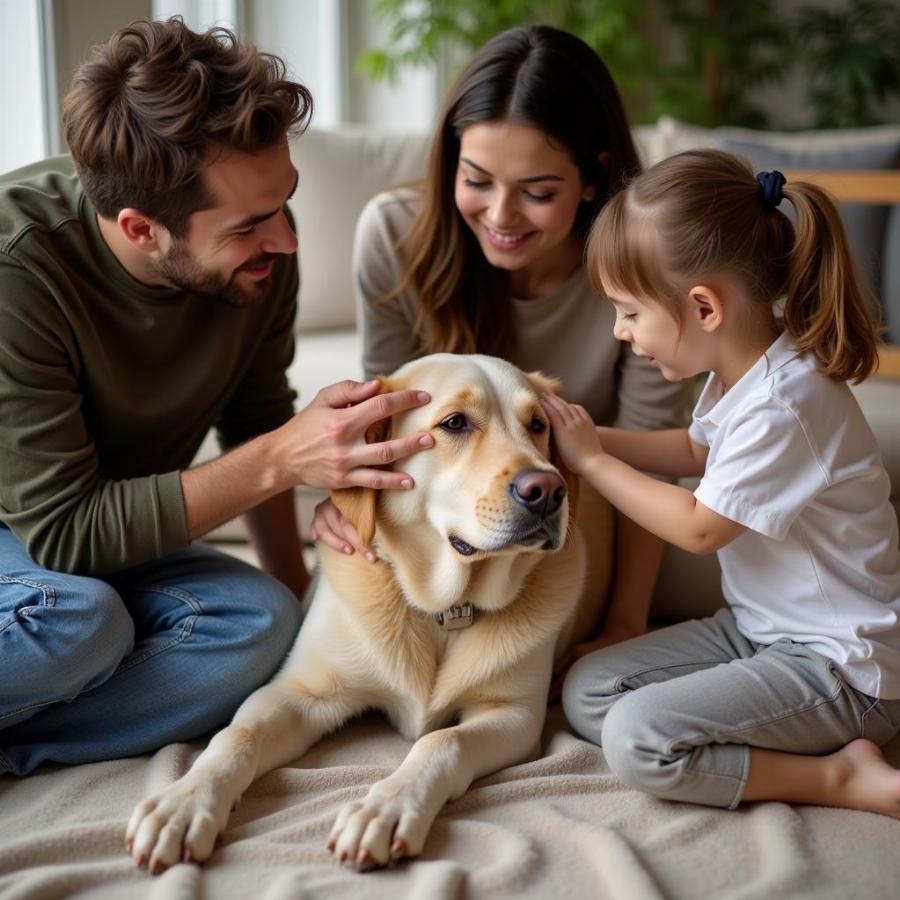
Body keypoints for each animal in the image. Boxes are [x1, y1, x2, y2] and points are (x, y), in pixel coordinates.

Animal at [125, 354, 612, 872]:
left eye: (538, 425)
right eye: (454, 423)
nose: (549, 489)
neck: (445, 607)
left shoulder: (514, 714)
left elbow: (442, 740)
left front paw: (387, 807)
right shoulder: (301, 693)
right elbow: (237, 736)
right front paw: (181, 804)